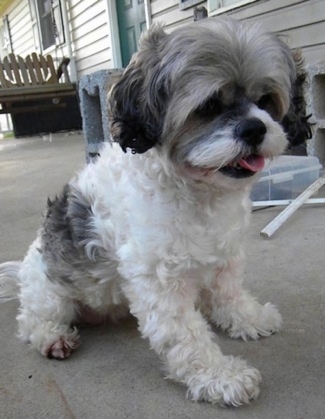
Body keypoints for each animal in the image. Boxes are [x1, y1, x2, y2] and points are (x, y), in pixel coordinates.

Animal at [0, 18, 304, 406]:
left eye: (265, 100)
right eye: (208, 106)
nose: (255, 128)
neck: (196, 191)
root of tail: (25, 268)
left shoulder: (226, 256)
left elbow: (229, 294)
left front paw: (247, 318)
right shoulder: (161, 280)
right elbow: (187, 336)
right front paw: (220, 376)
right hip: (51, 292)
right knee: (31, 321)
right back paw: (52, 337)